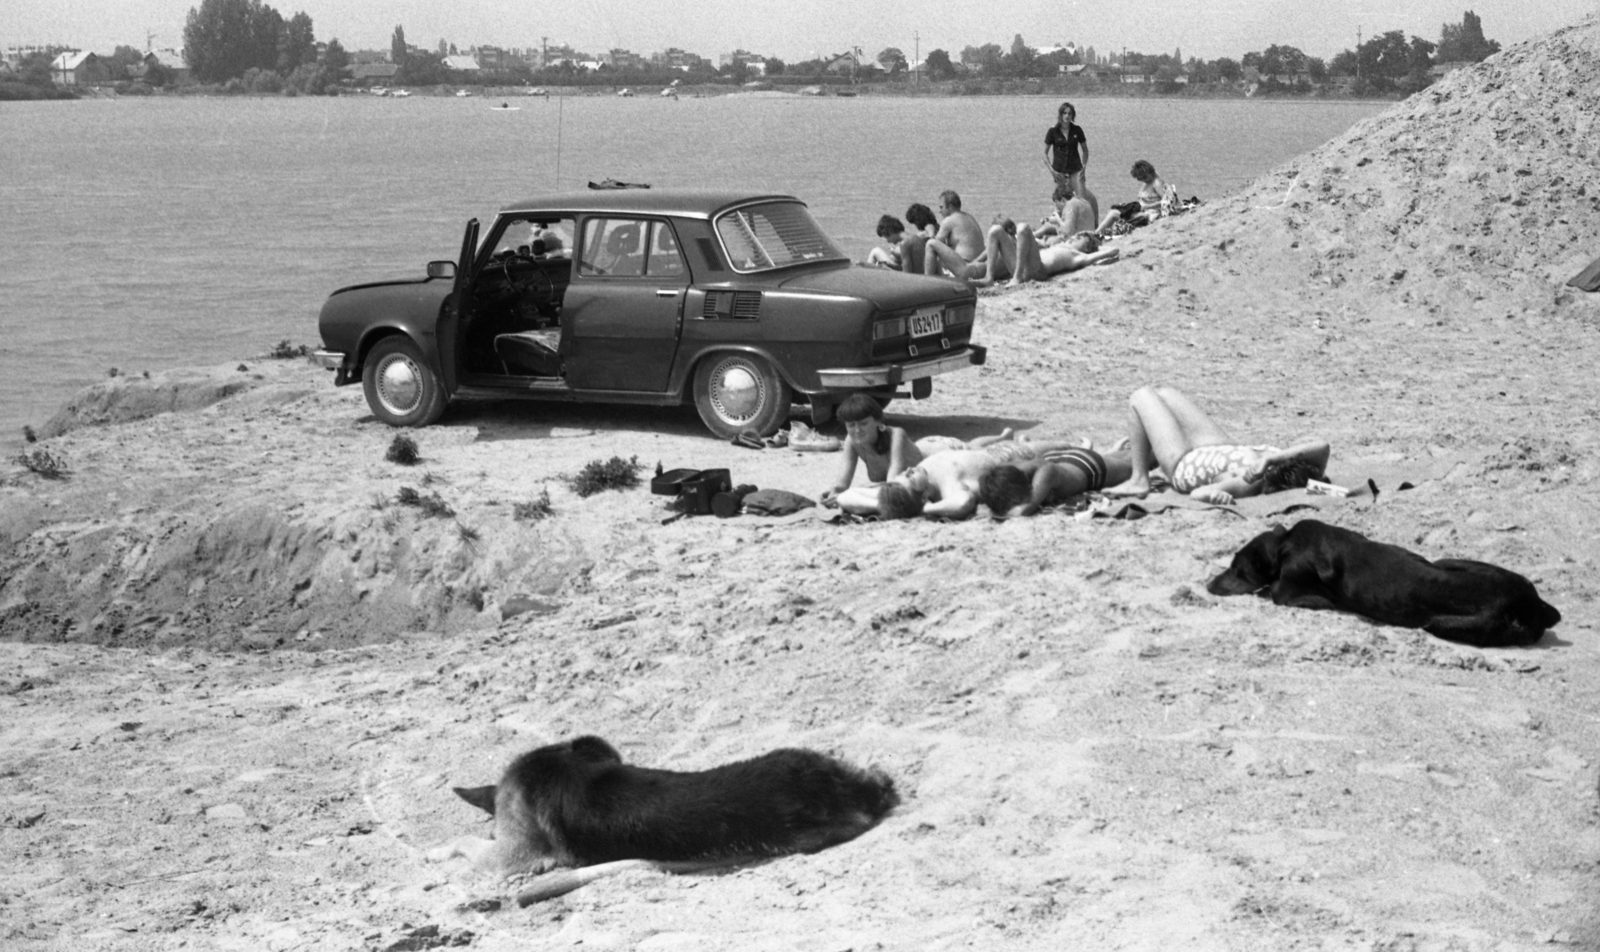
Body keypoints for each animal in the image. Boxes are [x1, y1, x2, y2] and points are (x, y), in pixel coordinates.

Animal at [1203, 521, 1555, 649]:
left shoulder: (1286, 586)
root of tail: (1535, 605)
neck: (1285, 541)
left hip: (1443, 623)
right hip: (1448, 560)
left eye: (1236, 568)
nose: (1207, 585)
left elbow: (1278, 591)